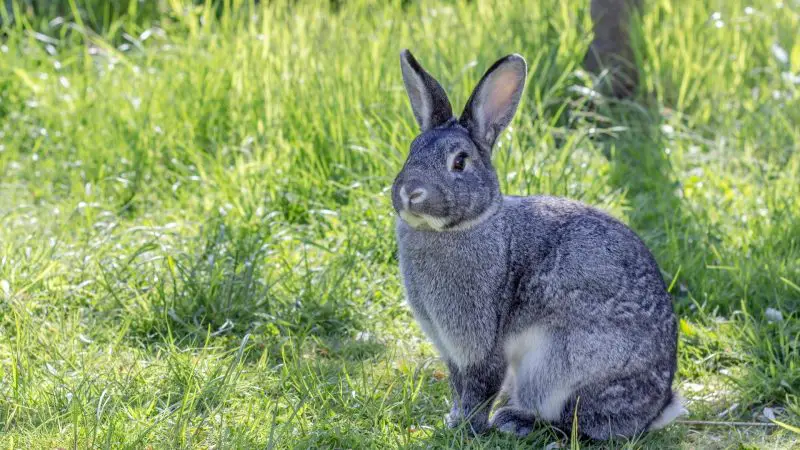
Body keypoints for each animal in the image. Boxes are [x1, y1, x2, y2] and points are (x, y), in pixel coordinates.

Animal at [390, 50, 684, 440]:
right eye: (411, 151)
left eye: (460, 162)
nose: (410, 192)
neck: (458, 228)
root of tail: (657, 407)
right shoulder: (449, 348)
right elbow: (457, 385)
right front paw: (452, 420)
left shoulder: (482, 342)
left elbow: (480, 387)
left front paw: (468, 428)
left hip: (562, 366)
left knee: (578, 423)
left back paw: (516, 421)